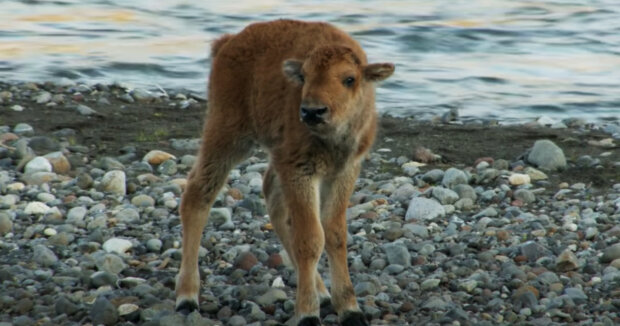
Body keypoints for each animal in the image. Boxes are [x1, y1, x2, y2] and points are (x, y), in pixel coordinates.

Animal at [174, 19, 394, 324]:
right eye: (304, 76)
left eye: (349, 78)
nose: (313, 111)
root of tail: (228, 42)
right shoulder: (299, 169)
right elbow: (310, 238)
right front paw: (308, 314)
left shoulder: (344, 171)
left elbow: (335, 234)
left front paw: (350, 310)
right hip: (228, 135)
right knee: (197, 195)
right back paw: (186, 297)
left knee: (272, 198)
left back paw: (323, 293)